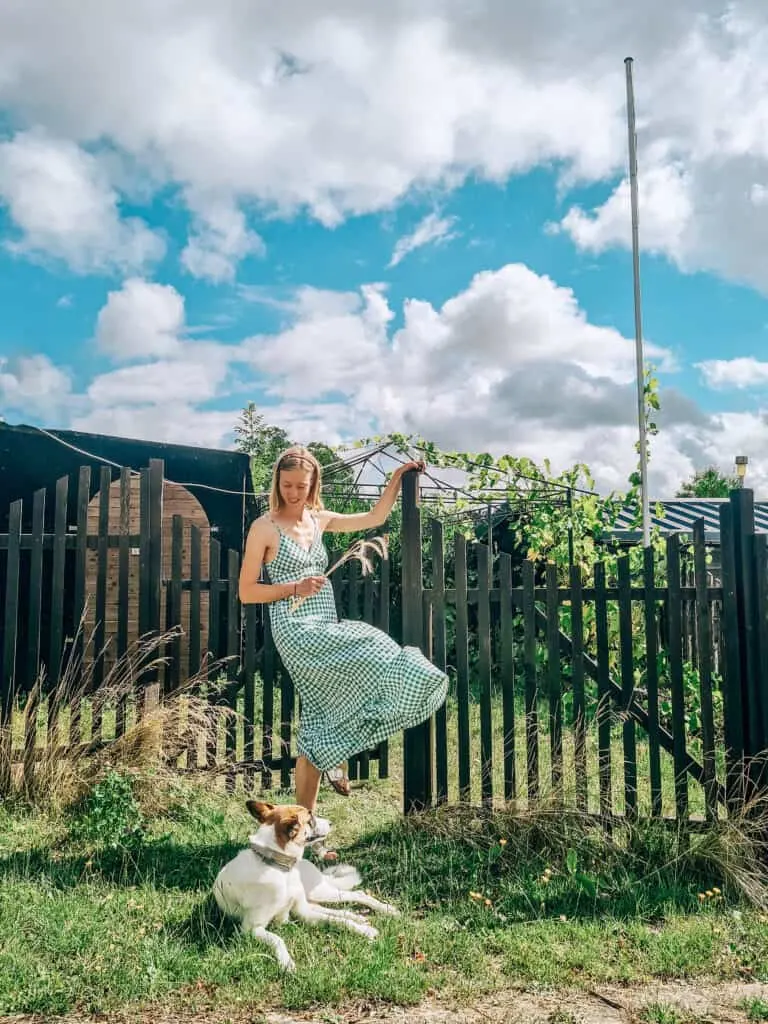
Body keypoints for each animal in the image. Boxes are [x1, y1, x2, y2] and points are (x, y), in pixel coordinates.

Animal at [214, 798, 399, 966]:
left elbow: (337, 921)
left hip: (318, 891)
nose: (331, 823)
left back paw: (387, 910)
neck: (278, 867)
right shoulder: (251, 928)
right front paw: (286, 962)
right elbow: (277, 938)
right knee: (336, 908)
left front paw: (364, 931)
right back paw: (359, 917)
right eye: (311, 820)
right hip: (314, 896)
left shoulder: (301, 912)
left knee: (356, 895)